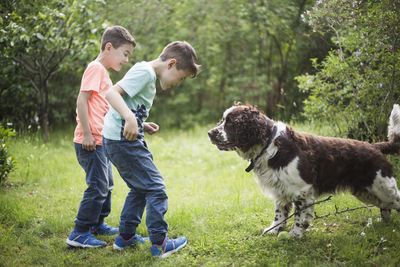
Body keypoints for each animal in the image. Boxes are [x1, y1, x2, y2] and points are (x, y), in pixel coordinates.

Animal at [208, 104, 400, 239]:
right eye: (222, 120)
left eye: (231, 122)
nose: (210, 133)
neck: (270, 146)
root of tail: (376, 147)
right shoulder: (280, 190)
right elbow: (280, 213)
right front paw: (274, 230)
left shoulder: (302, 191)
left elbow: (299, 215)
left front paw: (295, 234)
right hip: (366, 191)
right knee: (385, 207)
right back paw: (383, 223)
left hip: (383, 186)